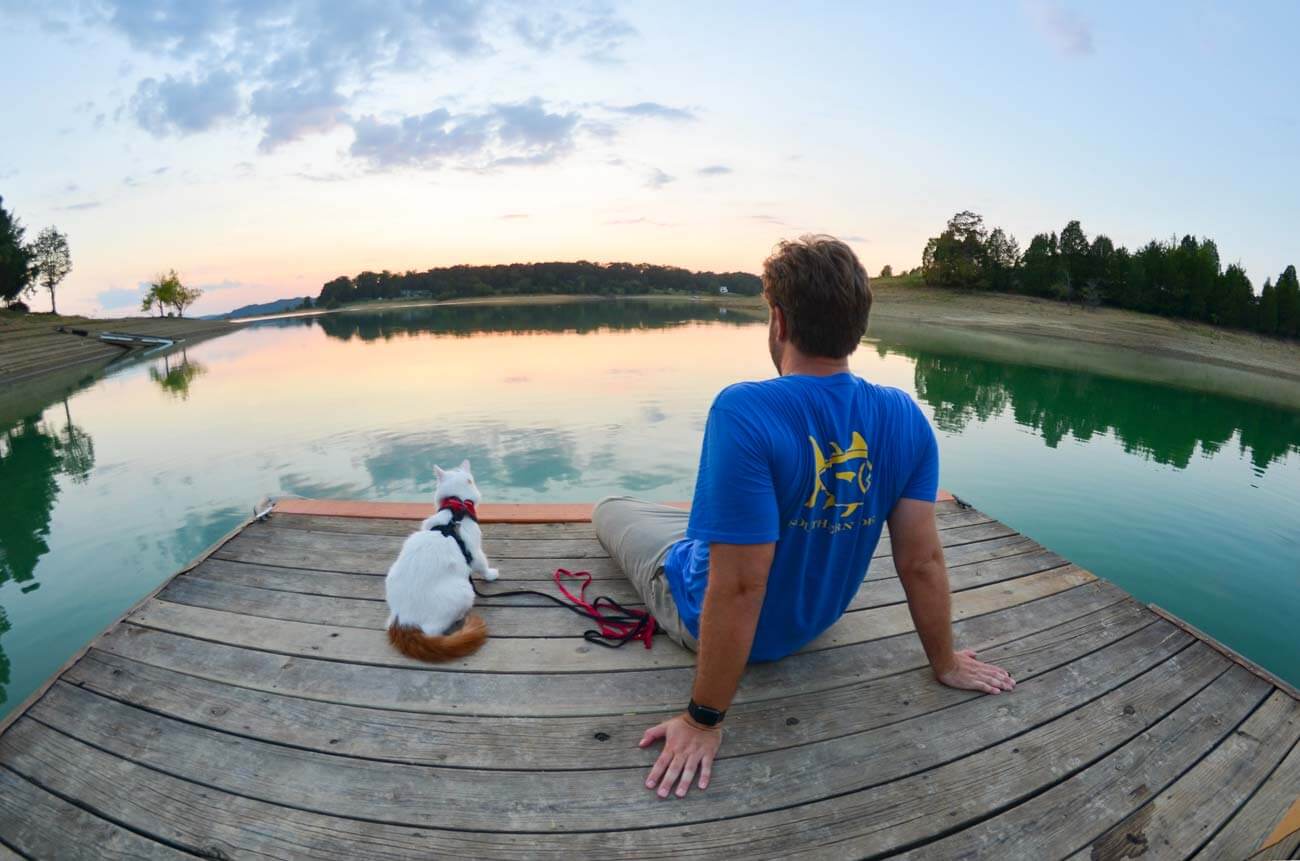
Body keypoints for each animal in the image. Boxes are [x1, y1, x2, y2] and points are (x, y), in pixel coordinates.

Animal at [382, 463, 499, 663]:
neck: (455, 508)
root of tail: (403, 620)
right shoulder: (475, 552)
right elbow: (483, 565)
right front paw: (491, 575)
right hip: (464, 591)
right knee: (435, 630)